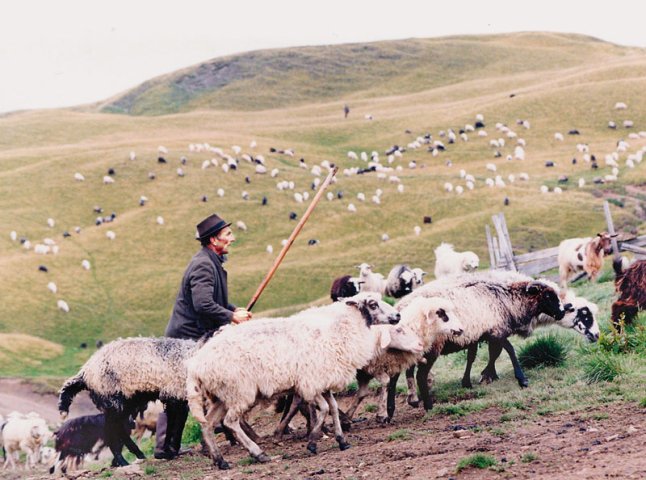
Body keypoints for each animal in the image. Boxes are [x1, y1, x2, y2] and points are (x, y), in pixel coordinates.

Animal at [58, 336, 200, 466]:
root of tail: (85, 372)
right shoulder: (174, 394)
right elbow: (174, 424)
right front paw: (169, 451)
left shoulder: (179, 397)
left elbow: (178, 424)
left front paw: (172, 450)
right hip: (113, 398)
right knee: (112, 429)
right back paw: (123, 460)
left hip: (127, 402)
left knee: (119, 427)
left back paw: (136, 454)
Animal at [184, 292, 404, 468]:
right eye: (373, 304)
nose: (398, 316)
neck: (338, 331)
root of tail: (196, 364)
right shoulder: (310, 383)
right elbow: (324, 409)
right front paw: (313, 442)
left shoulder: (323, 381)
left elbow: (333, 408)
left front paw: (341, 440)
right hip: (239, 391)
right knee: (230, 422)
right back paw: (258, 453)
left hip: (222, 395)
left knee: (208, 424)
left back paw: (220, 460)